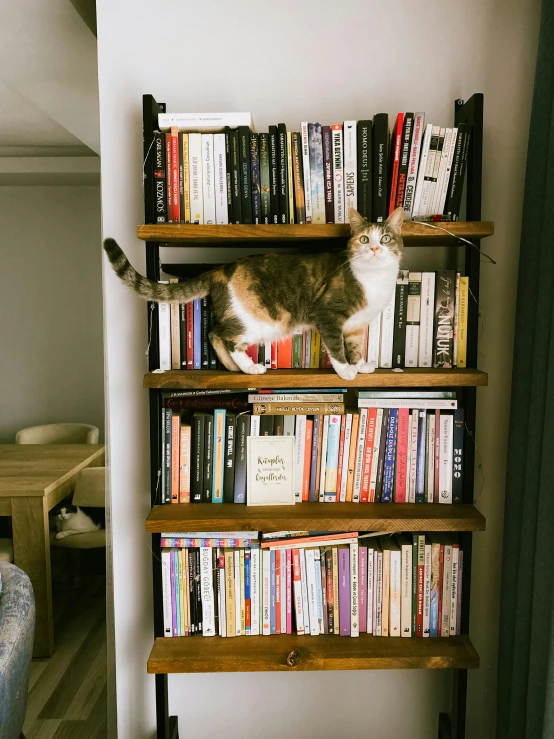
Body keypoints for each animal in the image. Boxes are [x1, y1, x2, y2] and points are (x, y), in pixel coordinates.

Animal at [102, 208, 402, 382]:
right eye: (364, 239)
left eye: (386, 239)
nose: (375, 248)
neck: (374, 278)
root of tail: (221, 269)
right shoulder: (328, 316)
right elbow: (338, 348)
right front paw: (346, 370)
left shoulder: (357, 326)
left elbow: (354, 346)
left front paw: (360, 365)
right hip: (256, 320)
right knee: (222, 335)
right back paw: (248, 367)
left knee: (215, 333)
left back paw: (235, 367)